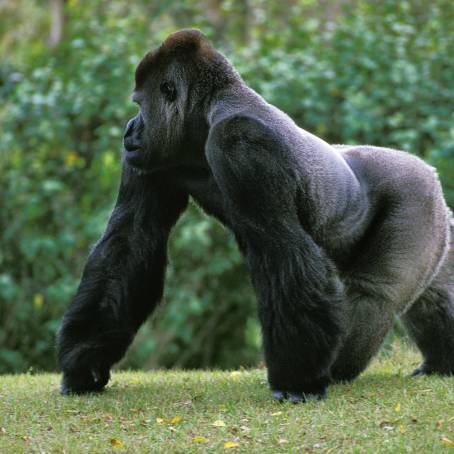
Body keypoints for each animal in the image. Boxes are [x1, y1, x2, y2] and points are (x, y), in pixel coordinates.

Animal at [56, 30, 454, 402]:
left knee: (373, 293)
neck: (207, 112)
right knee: (430, 294)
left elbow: (282, 248)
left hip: (415, 195)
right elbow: (131, 240)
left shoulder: (242, 143)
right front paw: (85, 360)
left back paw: (335, 369)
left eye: (140, 104)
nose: (129, 128)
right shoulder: (153, 158)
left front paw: (297, 381)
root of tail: (430, 172)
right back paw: (440, 361)